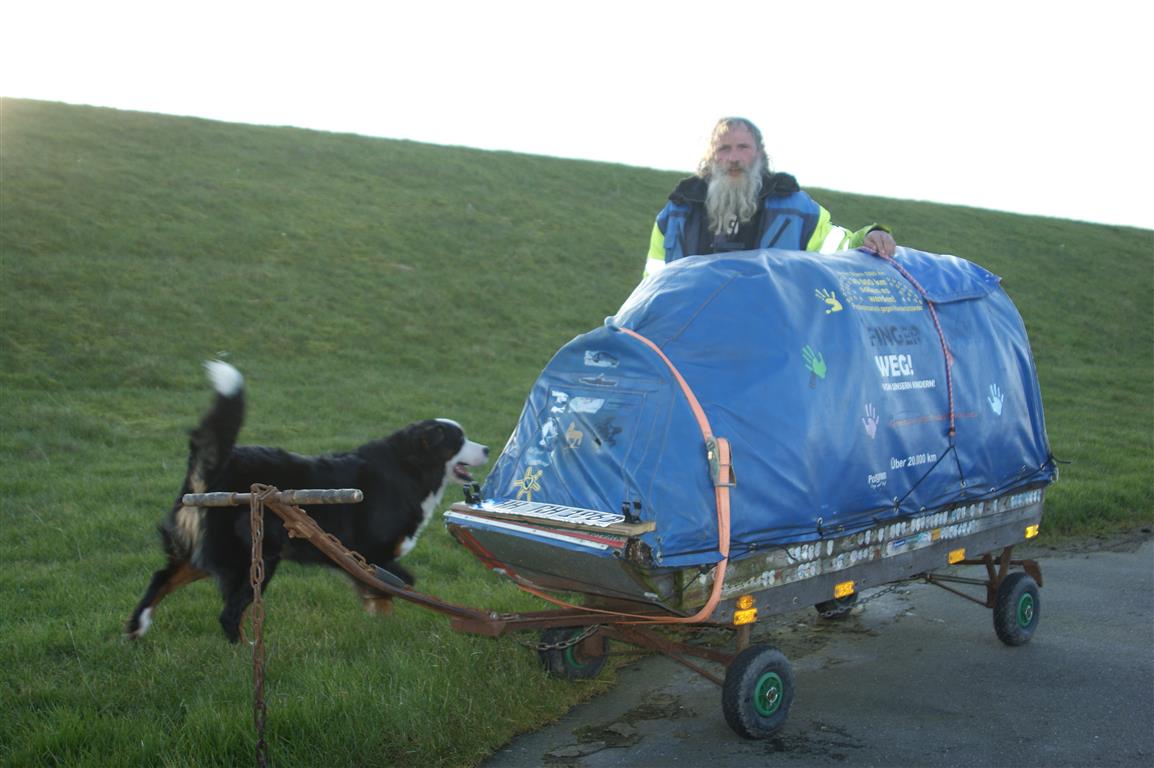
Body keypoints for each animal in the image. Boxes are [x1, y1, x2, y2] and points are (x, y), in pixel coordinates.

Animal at [126, 359, 486, 641]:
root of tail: (217, 467)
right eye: (459, 440)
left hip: (206, 551)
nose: (486, 448)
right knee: (229, 614)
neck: (410, 468)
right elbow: (395, 586)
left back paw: (135, 628)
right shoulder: (371, 552)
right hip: (253, 558)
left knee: (162, 579)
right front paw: (385, 623)